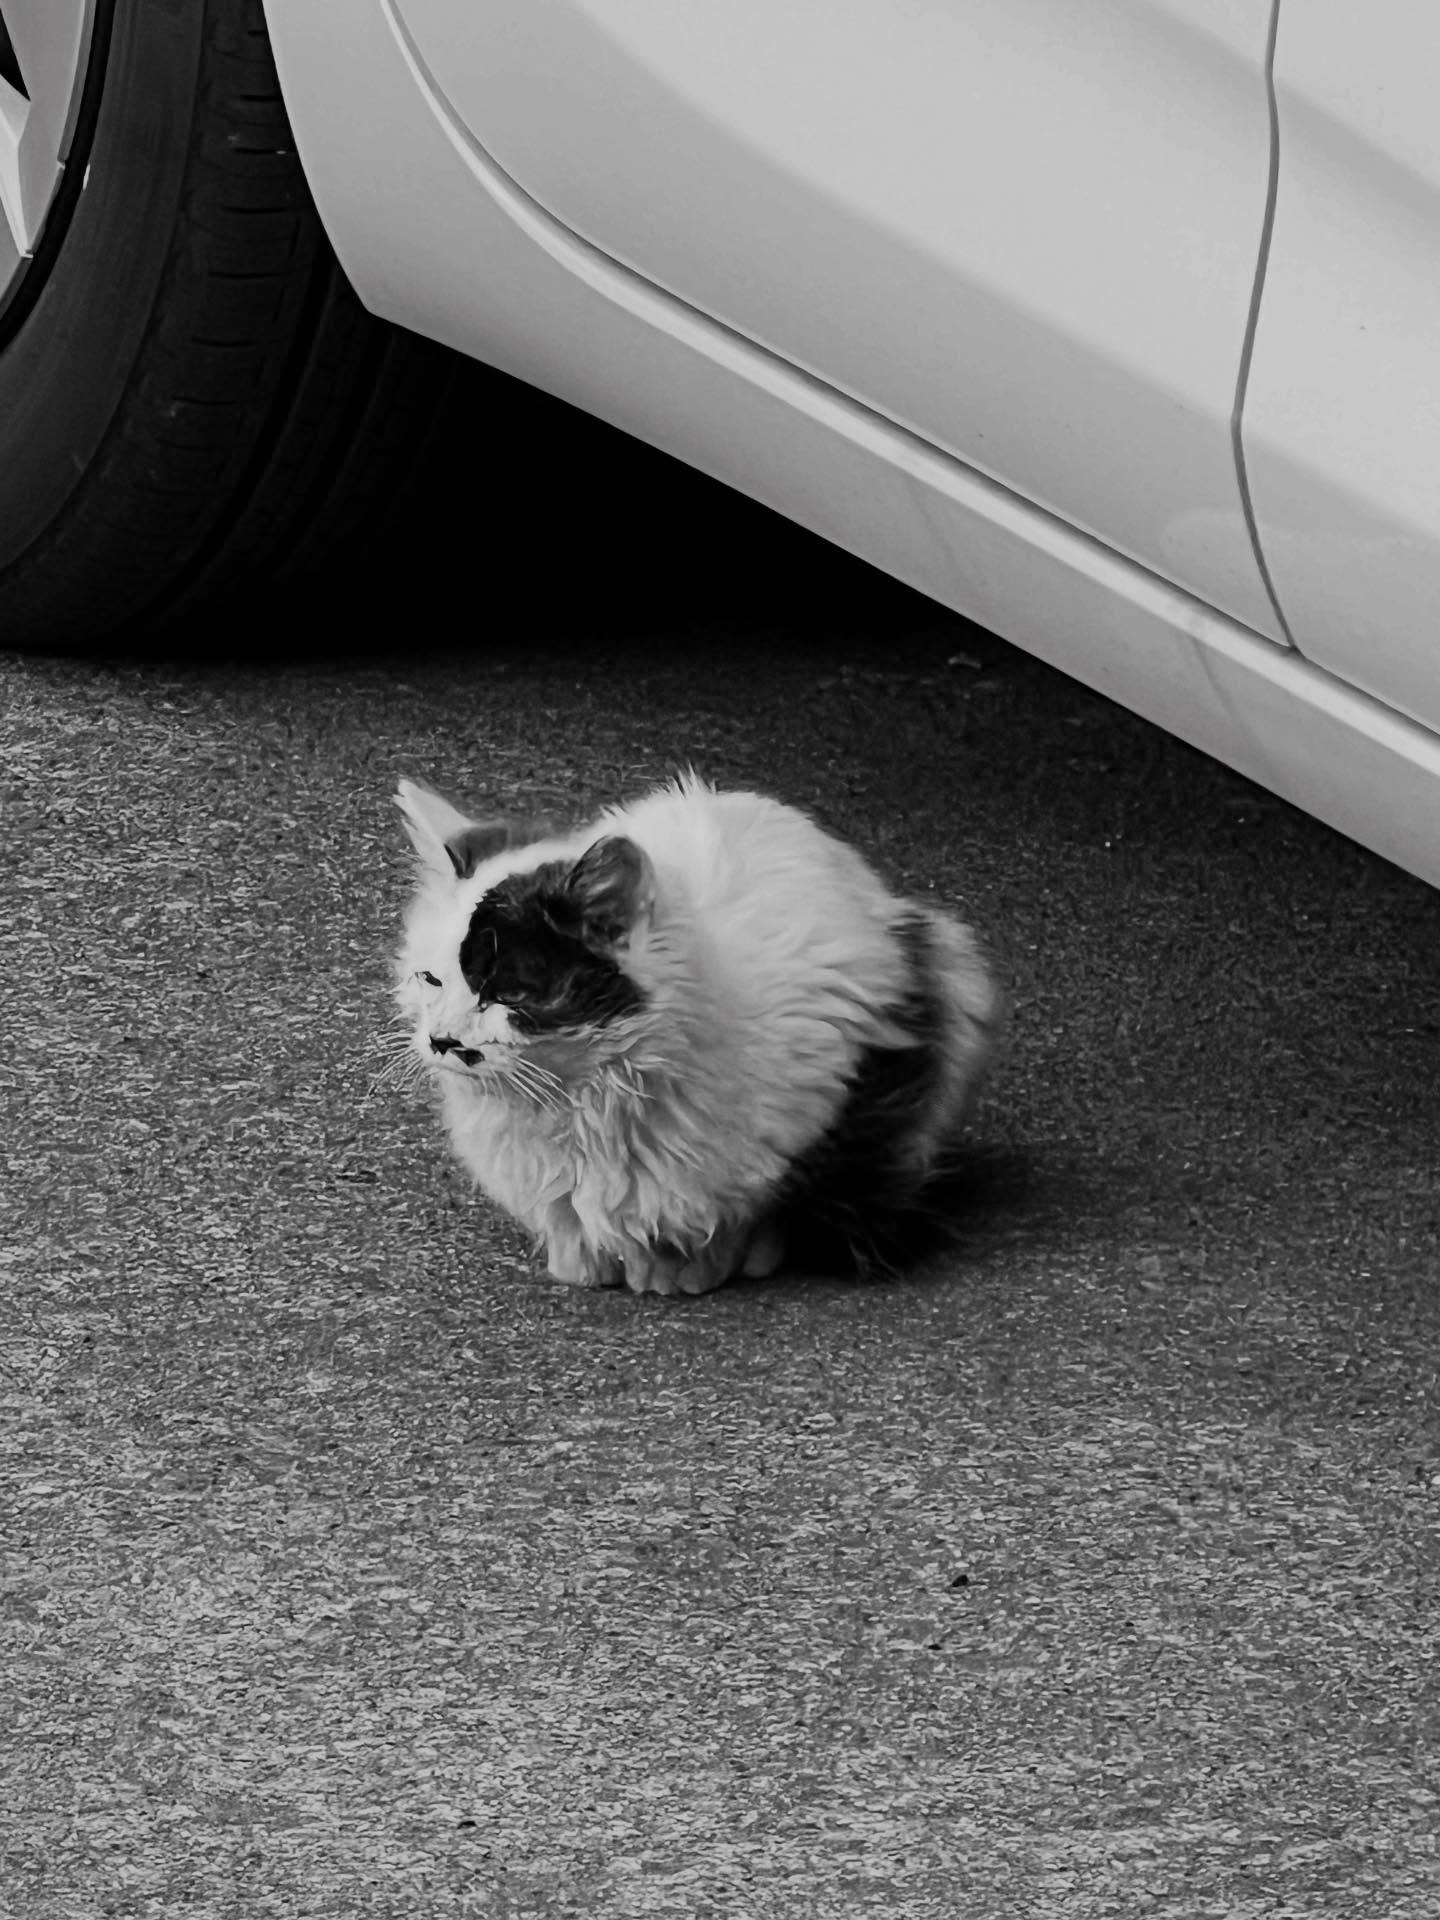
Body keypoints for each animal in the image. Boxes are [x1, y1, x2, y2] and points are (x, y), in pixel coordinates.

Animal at [390, 772, 1001, 1295]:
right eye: (432, 980)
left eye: (510, 996)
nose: (441, 1040)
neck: (586, 1103)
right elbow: (572, 1219)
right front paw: (584, 1264)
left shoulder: (827, 1095)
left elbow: (747, 1213)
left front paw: (686, 1271)